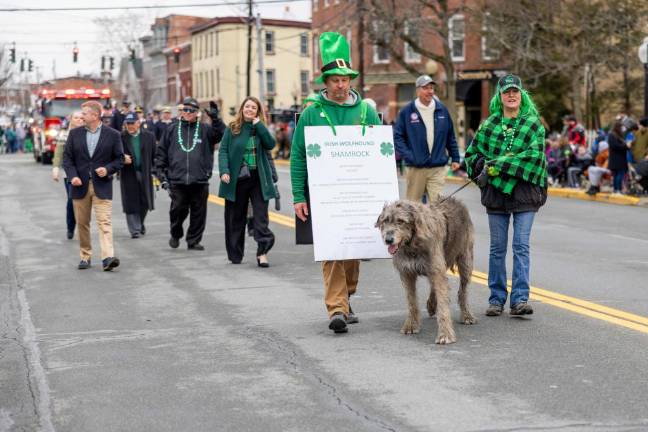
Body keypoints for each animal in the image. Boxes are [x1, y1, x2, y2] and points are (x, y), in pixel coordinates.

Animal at [374, 198, 476, 344]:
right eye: (385, 220)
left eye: (400, 221)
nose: (388, 240)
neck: (412, 244)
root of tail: (456, 200)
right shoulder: (407, 273)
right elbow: (412, 301)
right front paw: (411, 325)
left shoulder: (436, 268)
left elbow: (443, 304)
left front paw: (445, 334)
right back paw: (432, 305)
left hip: (465, 261)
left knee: (463, 291)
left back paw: (467, 315)